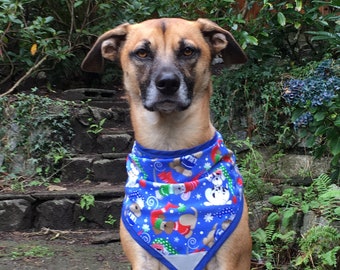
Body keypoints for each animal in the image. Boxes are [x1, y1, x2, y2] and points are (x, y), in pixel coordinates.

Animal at [81, 17, 252, 270]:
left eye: (188, 50)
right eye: (142, 52)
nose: (168, 83)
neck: (170, 149)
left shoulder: (230, 259)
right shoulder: (143, 260)